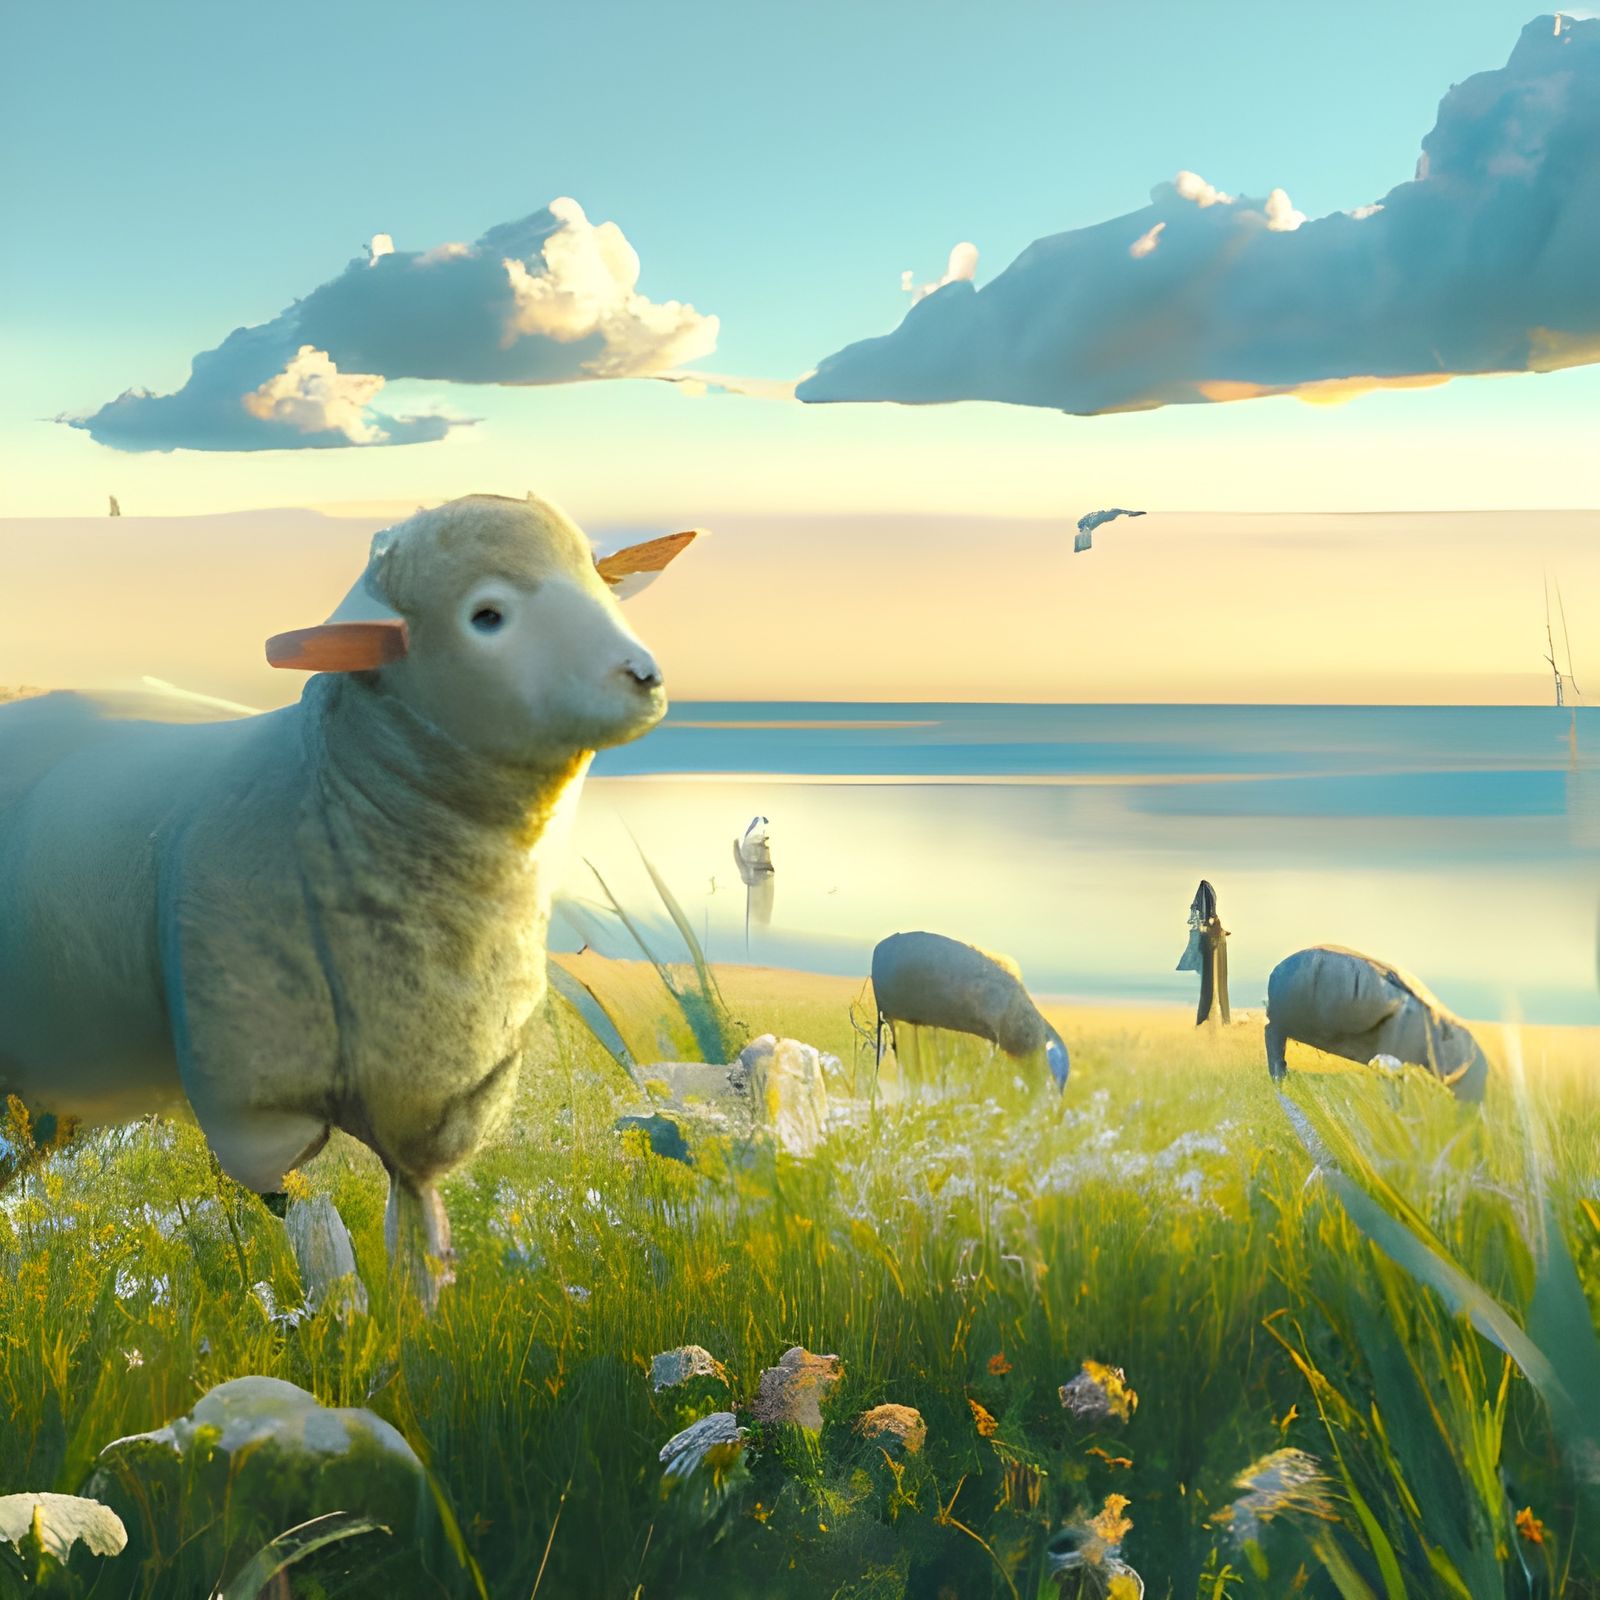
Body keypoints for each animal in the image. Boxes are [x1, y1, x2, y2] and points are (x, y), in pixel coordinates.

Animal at [0, 491, 699, 1301]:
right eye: (487, 615)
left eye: (598, 579)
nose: (643, 676)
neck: (330, 790)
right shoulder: (257, 1104)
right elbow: (320, 1233)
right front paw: (347, 1315)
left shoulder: (436, 1101)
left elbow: (418, 1233)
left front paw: (420, 1318)